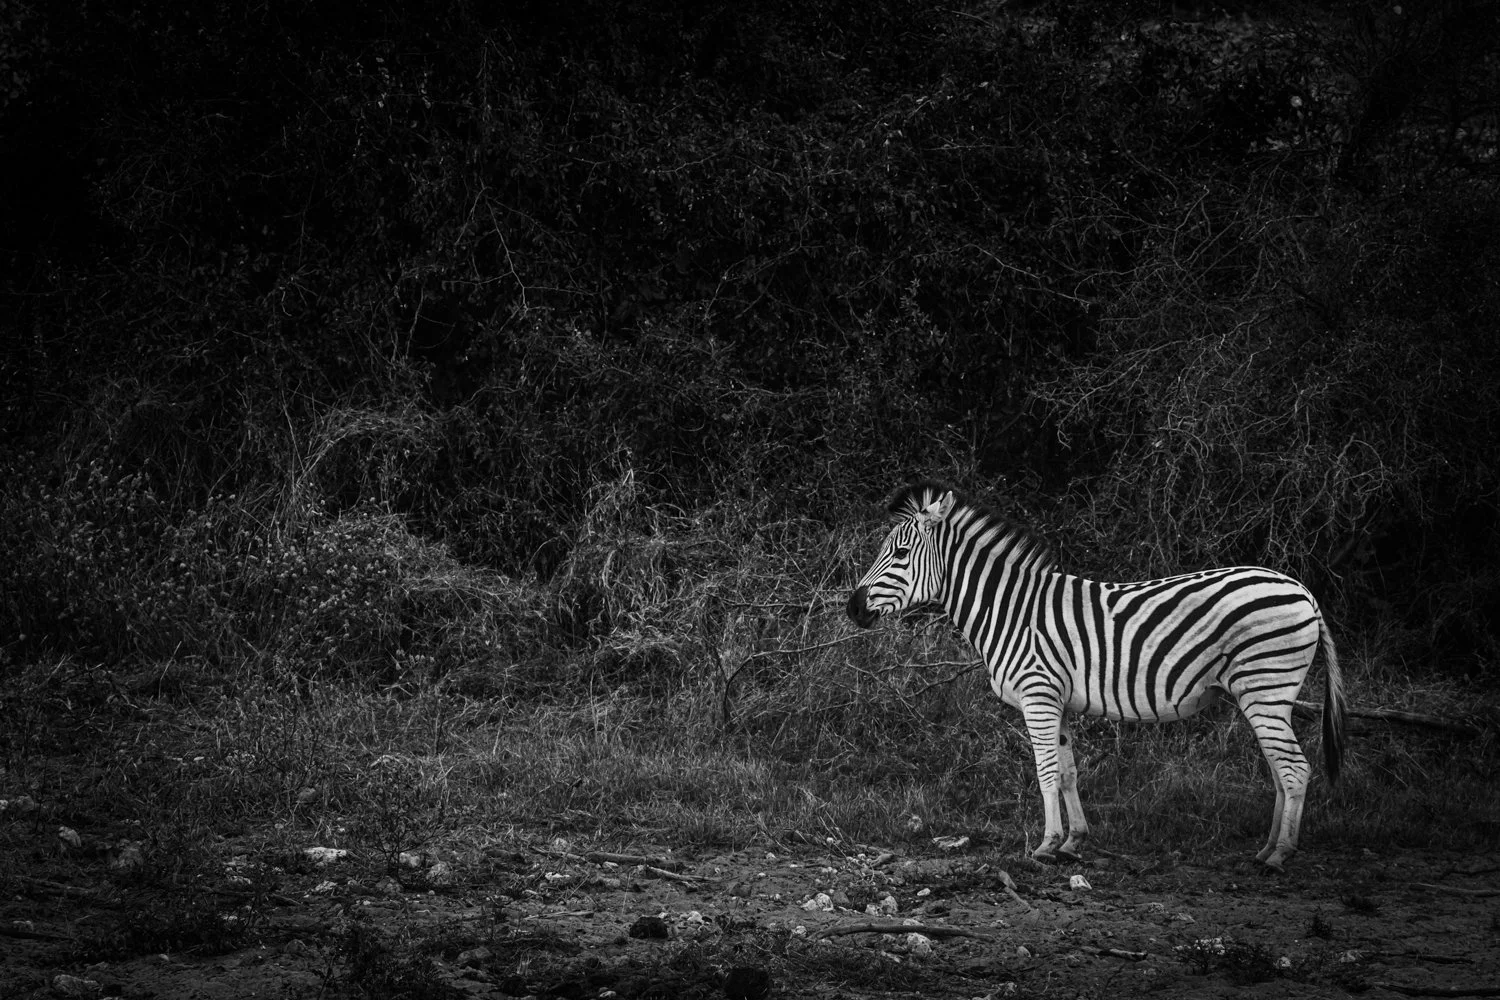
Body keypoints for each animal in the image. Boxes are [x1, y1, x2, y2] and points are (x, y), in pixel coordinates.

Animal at [846, 482, 1348, 871]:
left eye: (901, 553)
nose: (852, 608)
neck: (1011, 611)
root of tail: (1302, 590)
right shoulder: (1058, 701)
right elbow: (1068, 772)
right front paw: (1072, 842)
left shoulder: (1038, 694)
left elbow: (1046, 771)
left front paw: (1045, 845)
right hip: (1265, 696)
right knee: (1281, 770)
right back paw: (1266, 849)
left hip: (1265, 688)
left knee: (1295, 769)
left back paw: (1280, 855)